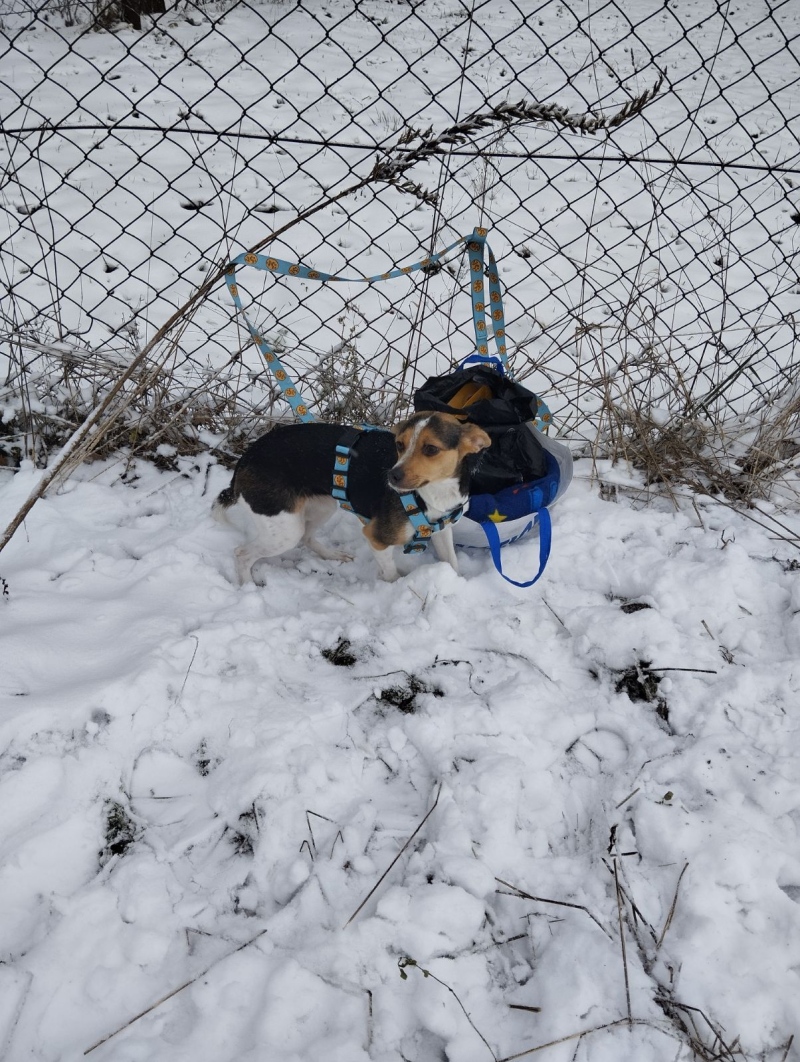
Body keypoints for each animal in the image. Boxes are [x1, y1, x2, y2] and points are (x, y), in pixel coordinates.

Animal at [209, 412, 490, 581]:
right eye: (399, 445)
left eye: (431, 449)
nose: (392, 476)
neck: (432, 494)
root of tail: (245, 459)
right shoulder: (376, 538)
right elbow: (390, 573)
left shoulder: (442, 530)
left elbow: (452, 563)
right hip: (283, 527)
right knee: (242, 553)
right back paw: (248, 586)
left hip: (321, 506)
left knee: (307, 537)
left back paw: (333, 556)